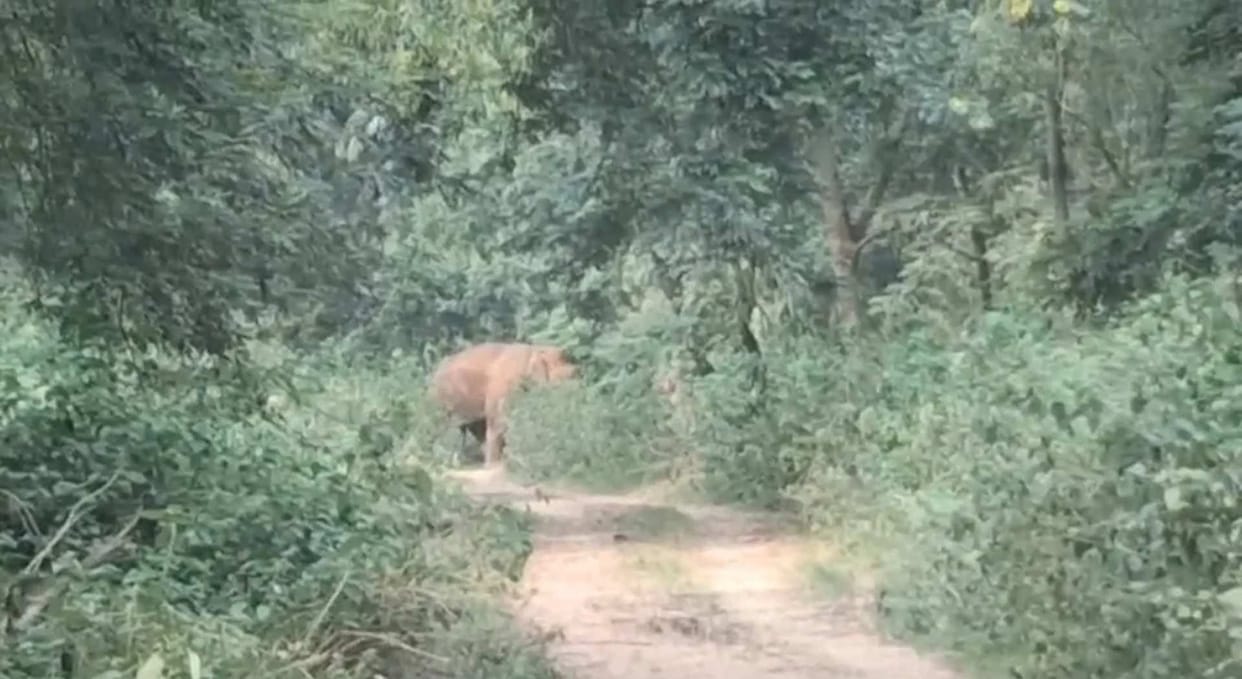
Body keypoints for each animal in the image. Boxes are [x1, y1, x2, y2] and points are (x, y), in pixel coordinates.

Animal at [429, 342, 577, 467]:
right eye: (569, 374)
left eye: (576, 372)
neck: (535, 350)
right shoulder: (504, 386)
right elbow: (499, 420)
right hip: (441, 400)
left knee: (477, 427)